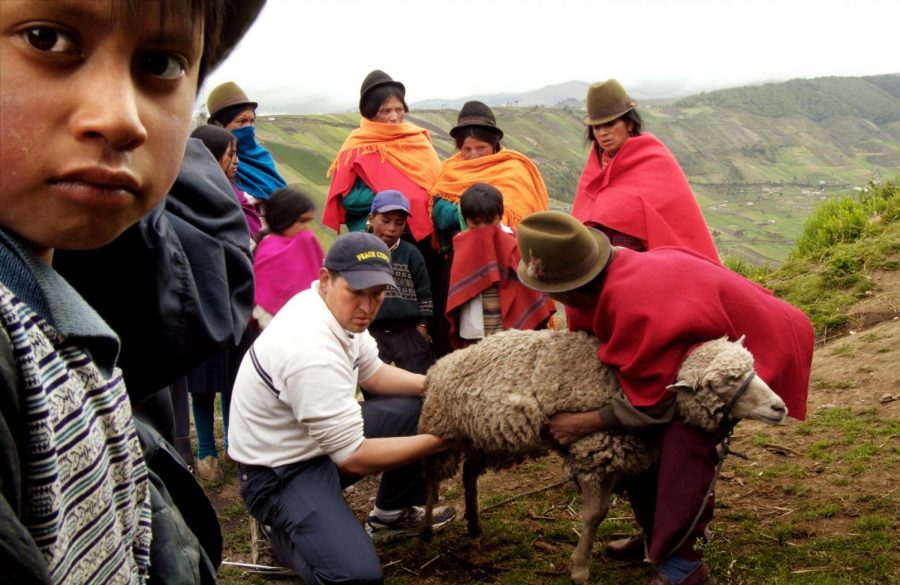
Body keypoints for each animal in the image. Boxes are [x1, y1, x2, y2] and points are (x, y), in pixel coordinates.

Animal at [418, 328, 784, 584]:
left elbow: (609, 509)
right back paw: (425, 531)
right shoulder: (592, 453)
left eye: (752, 366)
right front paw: (580, 568)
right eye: (720, 383)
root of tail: (437, 366)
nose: (779, 407)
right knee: (432, 481)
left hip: (487, 439)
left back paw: (474, 524)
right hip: (441, 433)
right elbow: (594, 515)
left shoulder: (614, 458)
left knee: (469, 473)